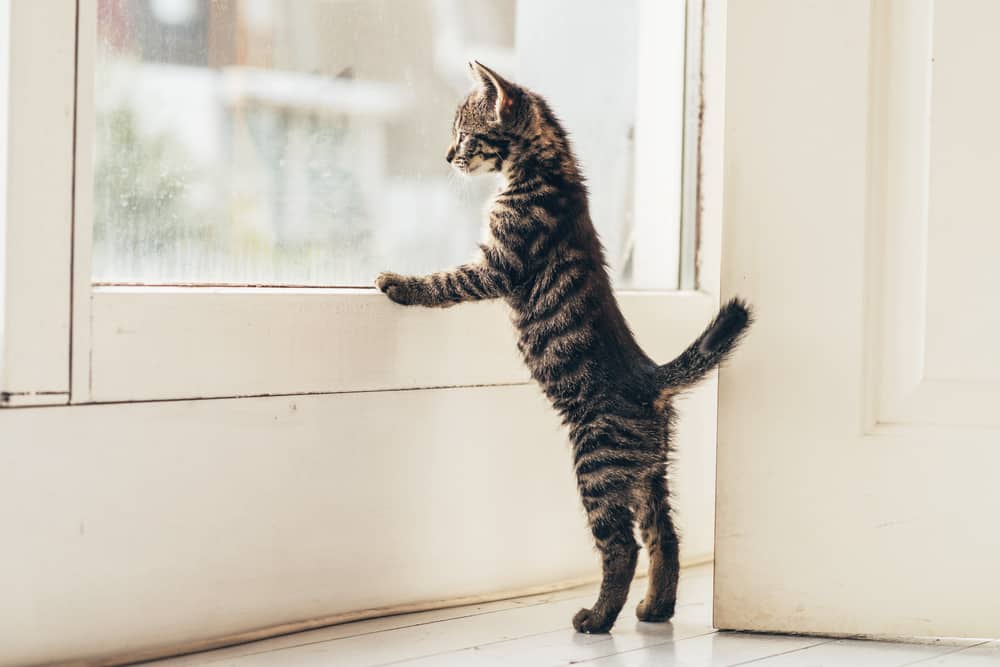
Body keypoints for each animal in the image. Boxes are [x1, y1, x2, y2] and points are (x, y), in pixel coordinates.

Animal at [376, 62, 752, 636]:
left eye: (464, 133)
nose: (446, 156)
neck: (549, 169)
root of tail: (651, 378)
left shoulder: (498, 265)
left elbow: (446, 282)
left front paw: (400, 283)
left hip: (596, 465)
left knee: (622, 548)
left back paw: (597, 618)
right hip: (647, 473)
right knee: (665, 537)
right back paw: (655, 609)